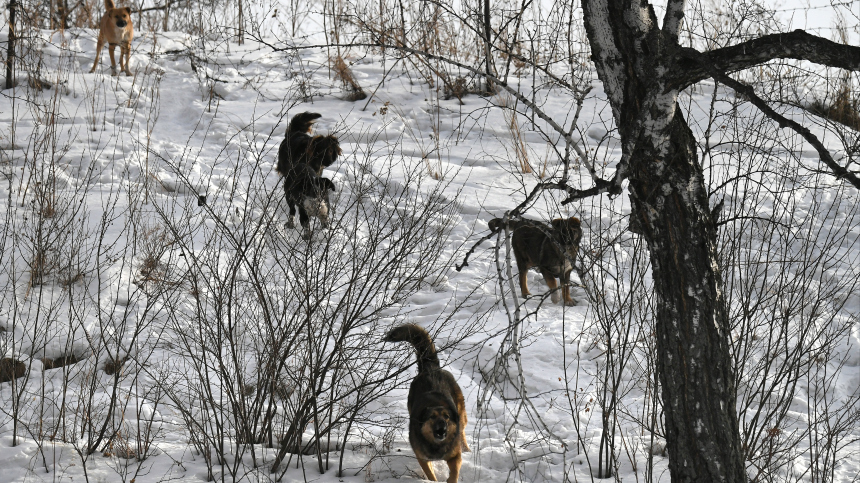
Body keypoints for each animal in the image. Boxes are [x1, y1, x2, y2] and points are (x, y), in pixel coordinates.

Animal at [386, 326, 470, 483]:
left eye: (447, 417)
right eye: (432, 417)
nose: (442, 425)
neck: (437, 445)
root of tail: (430, 368)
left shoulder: (454, 455)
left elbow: (455, 470)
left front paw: (451, 479)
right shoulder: (423, 458)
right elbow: (430, 474)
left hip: (461, 412)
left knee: (462, 430)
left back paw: (467, 448)